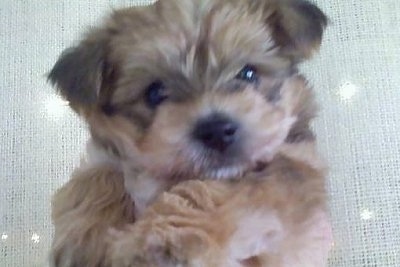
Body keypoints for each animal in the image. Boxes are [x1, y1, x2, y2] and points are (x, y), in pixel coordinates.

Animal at [47, 0, 328, 267]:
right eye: (155, 93)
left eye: (248, 74)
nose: (216, 131)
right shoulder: (106, 154)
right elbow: (98, 174)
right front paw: (86, 240)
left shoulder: (293, 166)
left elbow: (215, 192)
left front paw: (155, 243)